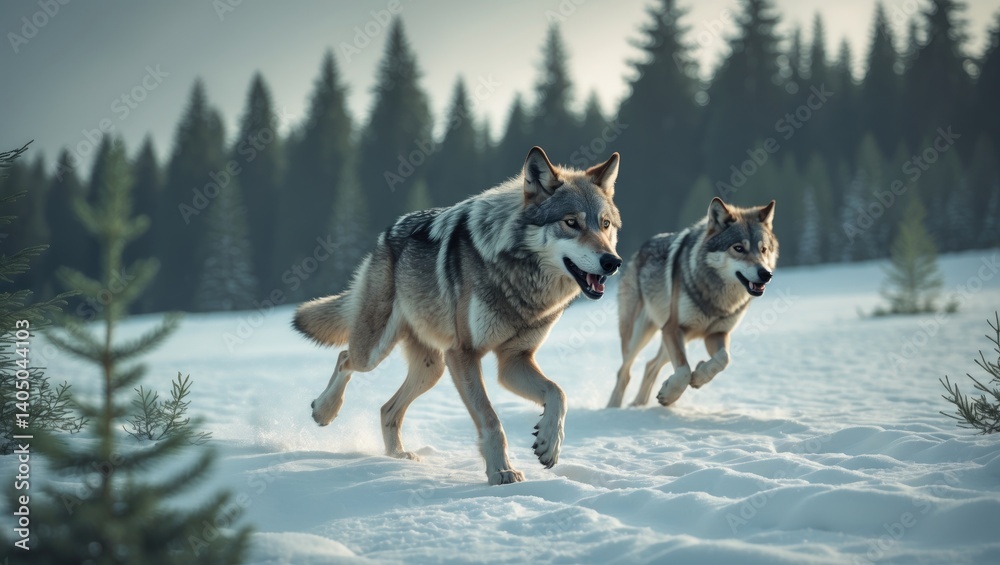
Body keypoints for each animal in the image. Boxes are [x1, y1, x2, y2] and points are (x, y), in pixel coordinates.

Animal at [294, 146, 623, 485]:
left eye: (605, 224)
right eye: (571, 222)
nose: (612, 262)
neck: (521, 281)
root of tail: (386, 234)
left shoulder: (513, 360)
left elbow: (558, 392)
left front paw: (548, 443)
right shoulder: (463, 354)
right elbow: (491, 420)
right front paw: (501, 471)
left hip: (433, 368)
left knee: (387, 409)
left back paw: (398, 458)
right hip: (377, 352)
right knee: (345, 357)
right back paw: (324, 411)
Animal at [607, 197, 778, 408]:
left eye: (764, 250)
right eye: (738, 248)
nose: (766, 274)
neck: (717, 299)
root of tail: (639, 250)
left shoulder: (717, 333)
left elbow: (724, 359)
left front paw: (696, 378)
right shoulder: (672, 328)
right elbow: (684, 371)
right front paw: (673, 392)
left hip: (673, 340)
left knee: (650, 365)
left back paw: (640, 405)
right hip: (640, 336)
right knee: (624, 372)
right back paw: (613, 409)